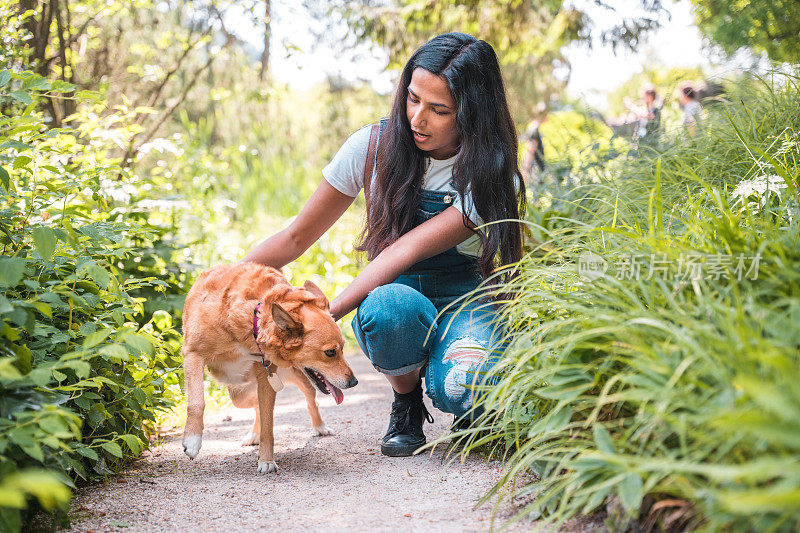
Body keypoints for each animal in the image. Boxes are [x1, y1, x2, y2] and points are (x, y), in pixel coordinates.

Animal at [183, 260, 358, 472]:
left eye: (343, 347)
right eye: (331, 352)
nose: (354, 382)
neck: (253, 318)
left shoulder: (267, 378)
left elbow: (268, 425)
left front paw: (266, 460)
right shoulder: (193, 355)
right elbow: (197, 402)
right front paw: (192, 440)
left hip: (292, 380)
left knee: (310, 399)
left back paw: (320, 427)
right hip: (239, 395)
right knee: (255, 405)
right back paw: (253, 434)